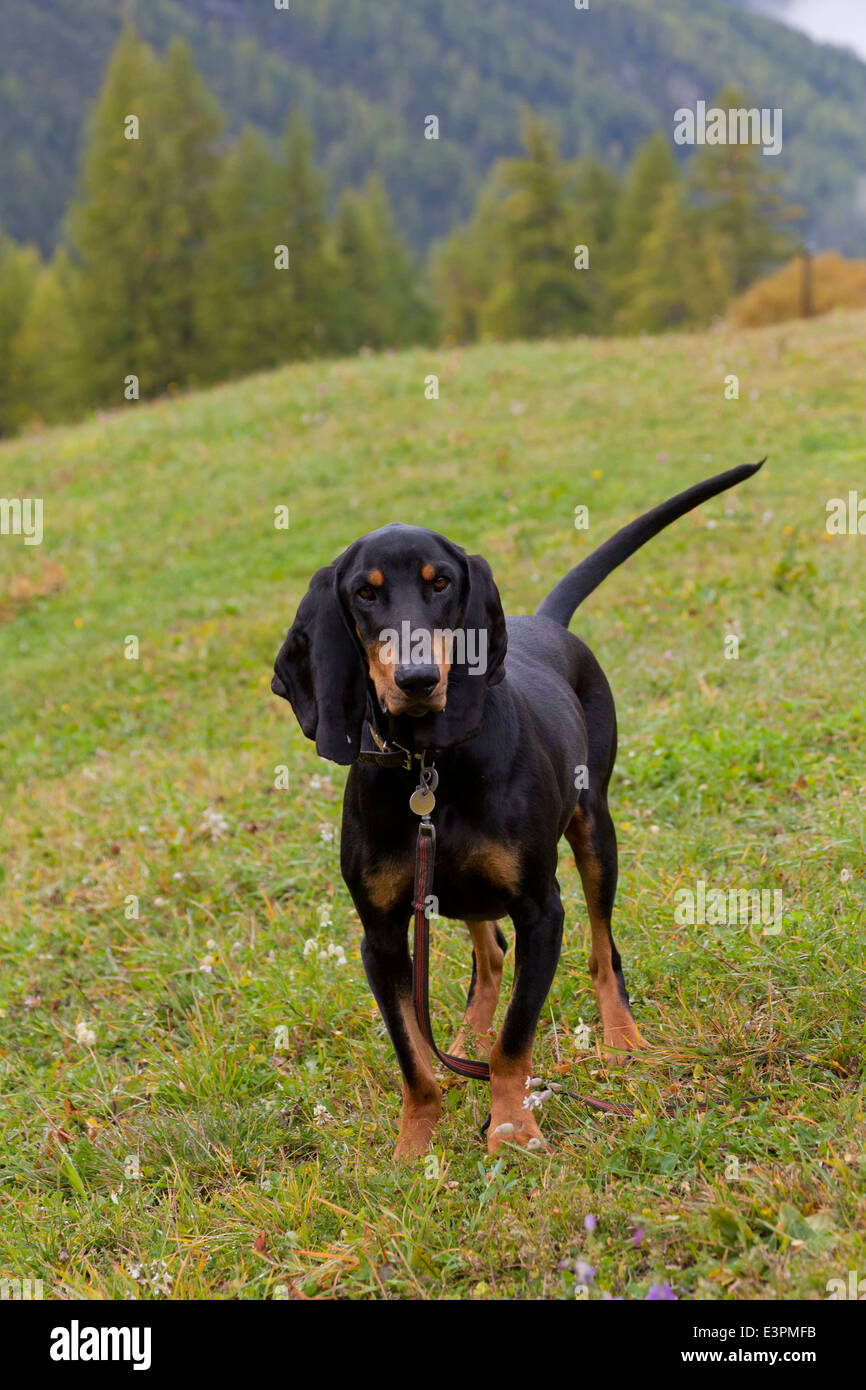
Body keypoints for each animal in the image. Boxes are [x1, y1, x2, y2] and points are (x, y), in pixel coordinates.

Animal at [272, 461, 767, 1156]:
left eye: (442, 583)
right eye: (365, 594)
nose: (419, 680)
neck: (431, 765)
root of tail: (547, 622)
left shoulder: (541, 910)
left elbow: (515, 1041)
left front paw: (509, 1127)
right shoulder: (381, 934)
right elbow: (413, 1057)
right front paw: (413, 1148)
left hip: (595, 830)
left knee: (602, 950)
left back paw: (622, 1040)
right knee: (488, 955)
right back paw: (466, 1038)